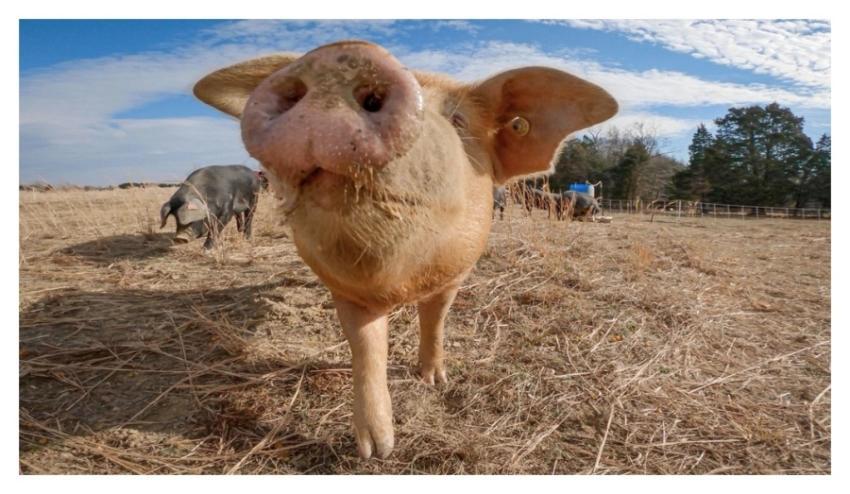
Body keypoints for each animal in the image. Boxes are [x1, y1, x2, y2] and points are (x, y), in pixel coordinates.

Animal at [193, 40, 617, 458]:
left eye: (459, 121)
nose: (343, 55)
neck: (399, 284)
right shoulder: (345, 288)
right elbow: (366, 347)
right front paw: (376, 451)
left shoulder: (455, 275)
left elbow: (435, 321)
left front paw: (434, 381)